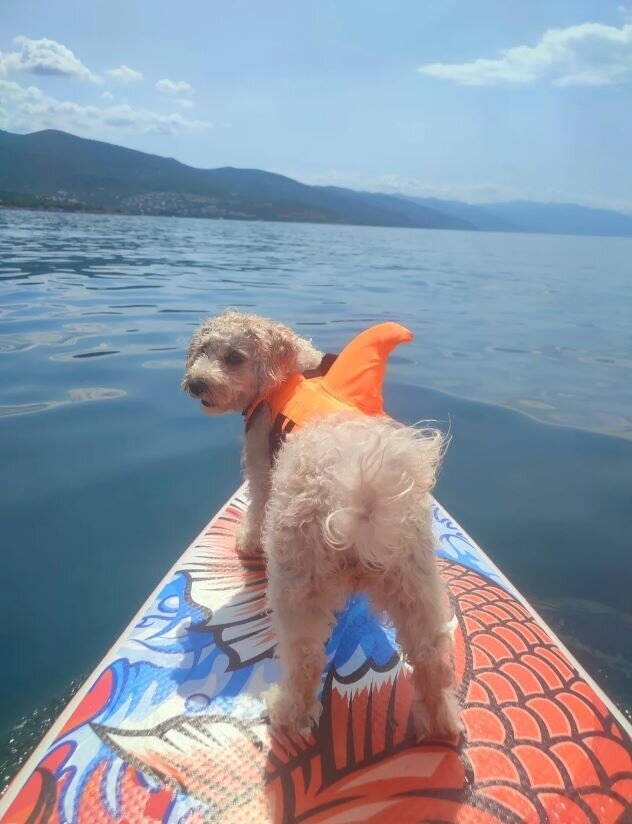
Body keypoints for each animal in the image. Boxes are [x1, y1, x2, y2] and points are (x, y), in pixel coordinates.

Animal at [180, 312, 462, 744]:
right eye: (202, 351)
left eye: (233, 357)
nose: (196, 383)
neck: (294, 370)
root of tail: (359, 501)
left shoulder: (261, 464)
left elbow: (256, 505)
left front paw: (247, 542)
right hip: (415, 582)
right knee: (431, 656)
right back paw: (441, 724)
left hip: (298, 584)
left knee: (306, 660)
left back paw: (286, 715)